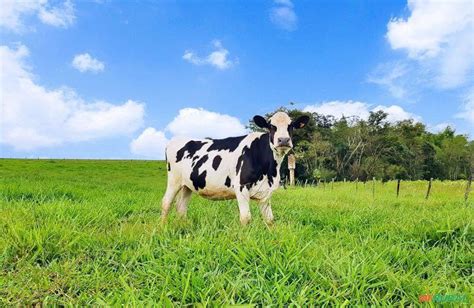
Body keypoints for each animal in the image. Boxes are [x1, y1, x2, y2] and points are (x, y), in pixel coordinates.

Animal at [162, 112, 312, 225]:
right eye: (271, 126)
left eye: (291, 125)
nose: (283, 140)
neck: (269, 170)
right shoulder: (241, 187)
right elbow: (246, 218)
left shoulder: (266, 192)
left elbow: (270, 220)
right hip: (174, 181)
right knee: (166, 203)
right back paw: (161, 227)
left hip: (187, 185)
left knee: (181, 207)